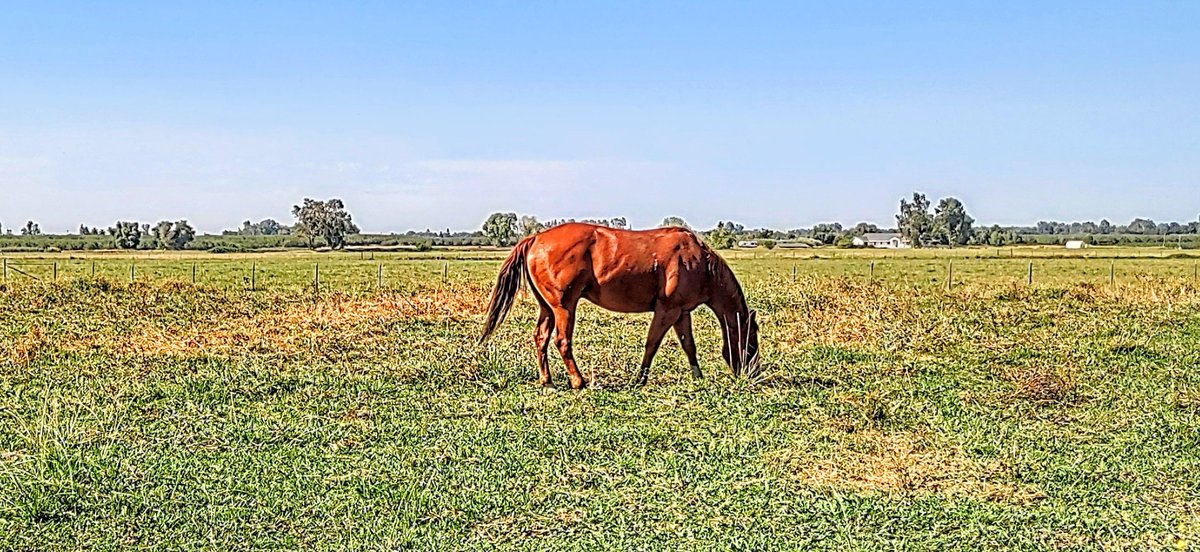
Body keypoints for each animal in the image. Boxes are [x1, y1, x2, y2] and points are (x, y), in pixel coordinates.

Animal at [480, 222, 759, 389]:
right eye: (751, 341)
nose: (753, 374)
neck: (698, 261)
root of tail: (536, 238)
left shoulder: (681, 312)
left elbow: (688, 345)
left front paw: (697, 376)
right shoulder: (667, 310)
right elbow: (652, 344)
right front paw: (640, 379)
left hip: (547, 307)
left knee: (541, 338)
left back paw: (546, 381)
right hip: (564, 307)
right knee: (562, 341)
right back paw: (578, 381)